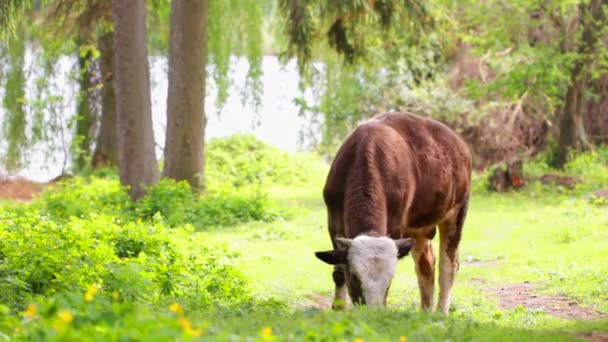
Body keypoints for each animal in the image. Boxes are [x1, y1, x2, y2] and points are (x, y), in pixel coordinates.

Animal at [316, 111, 472, 312]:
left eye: (389, 280)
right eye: (355, 277)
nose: (372, 311)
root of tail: (458, 143)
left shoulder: (396, 224)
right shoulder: (333, 221)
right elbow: (338, 272)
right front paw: (339, 309)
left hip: (457, 211)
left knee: (448, 266)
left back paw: (441, 312)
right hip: (418, 228)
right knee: (426, 265)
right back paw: (425, 311)